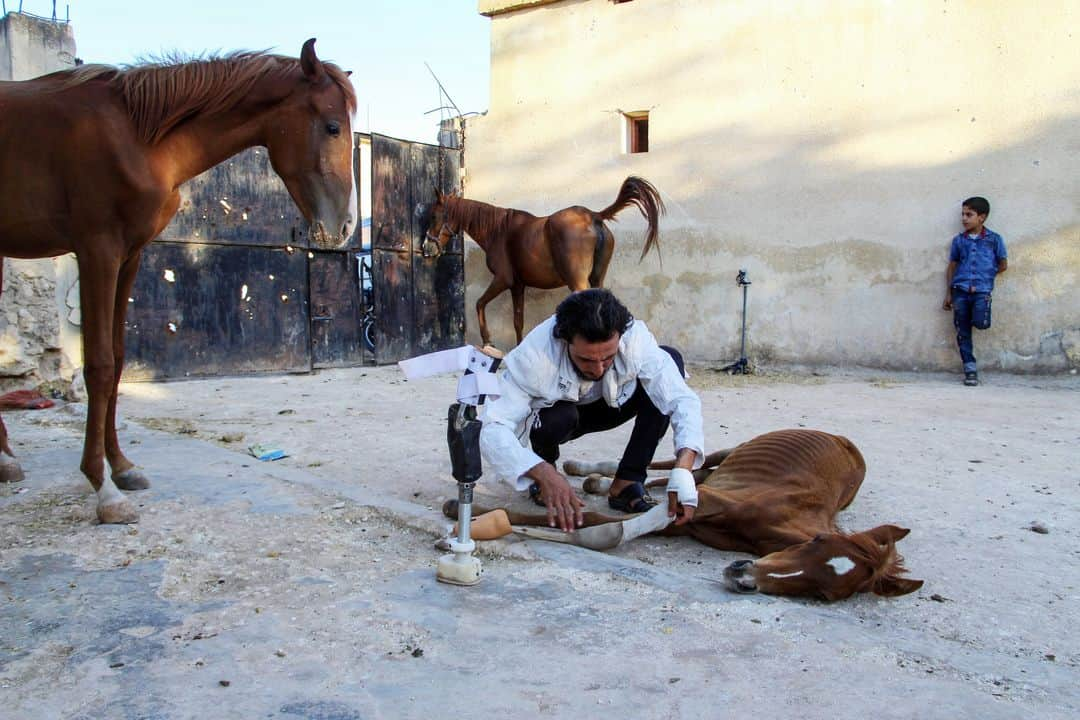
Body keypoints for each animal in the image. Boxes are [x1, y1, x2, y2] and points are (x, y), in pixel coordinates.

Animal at [0, 39, 362, 524]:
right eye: (332, 126)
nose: (346, 226)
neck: (137, 135)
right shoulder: (97, 249)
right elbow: (99, 364)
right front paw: (103, 488)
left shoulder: (130, 255)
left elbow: (118, 358)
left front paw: (122, 467)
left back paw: (5, 459)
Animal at [423, 173, 660, 343]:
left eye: (434, 216)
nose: (427, 248)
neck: (498, 231)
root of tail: (594, 216)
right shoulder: (517, 286)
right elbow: (518, 321)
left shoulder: (503, 280)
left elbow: (480, 303)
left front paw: (487, 341)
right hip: (596, 279)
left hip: (578, 282)